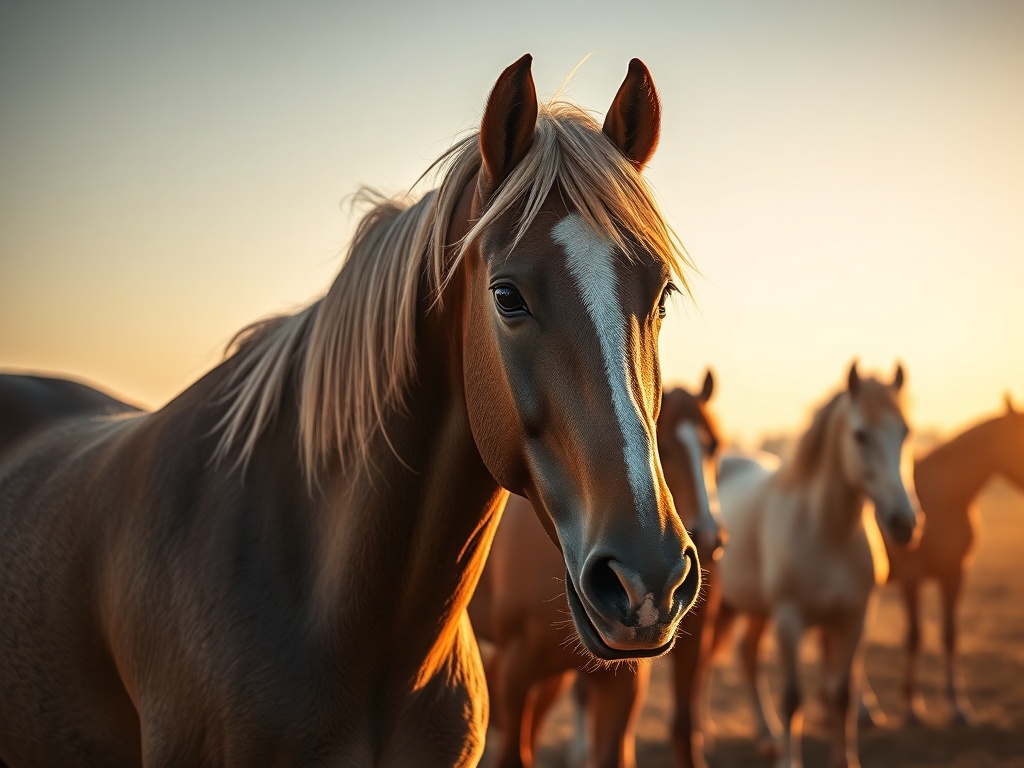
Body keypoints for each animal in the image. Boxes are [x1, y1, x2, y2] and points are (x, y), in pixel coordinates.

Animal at [710, 362, 918, 768]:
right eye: (860, 435)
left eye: (906, 432)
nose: (904, 523)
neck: (826, 533)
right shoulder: (789, 619)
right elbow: (793, 698)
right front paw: (789, 761)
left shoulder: (854, 618)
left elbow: (842, 694)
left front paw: (845, 760)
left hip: (757, 611)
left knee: (748, 657)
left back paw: (767, 736)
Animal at [878, 394, 1024, 726]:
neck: (944, 495)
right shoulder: (912, 579)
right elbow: (915, 636)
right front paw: (912, 707)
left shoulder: (954, 575)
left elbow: (950, 636)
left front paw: (959, 707)